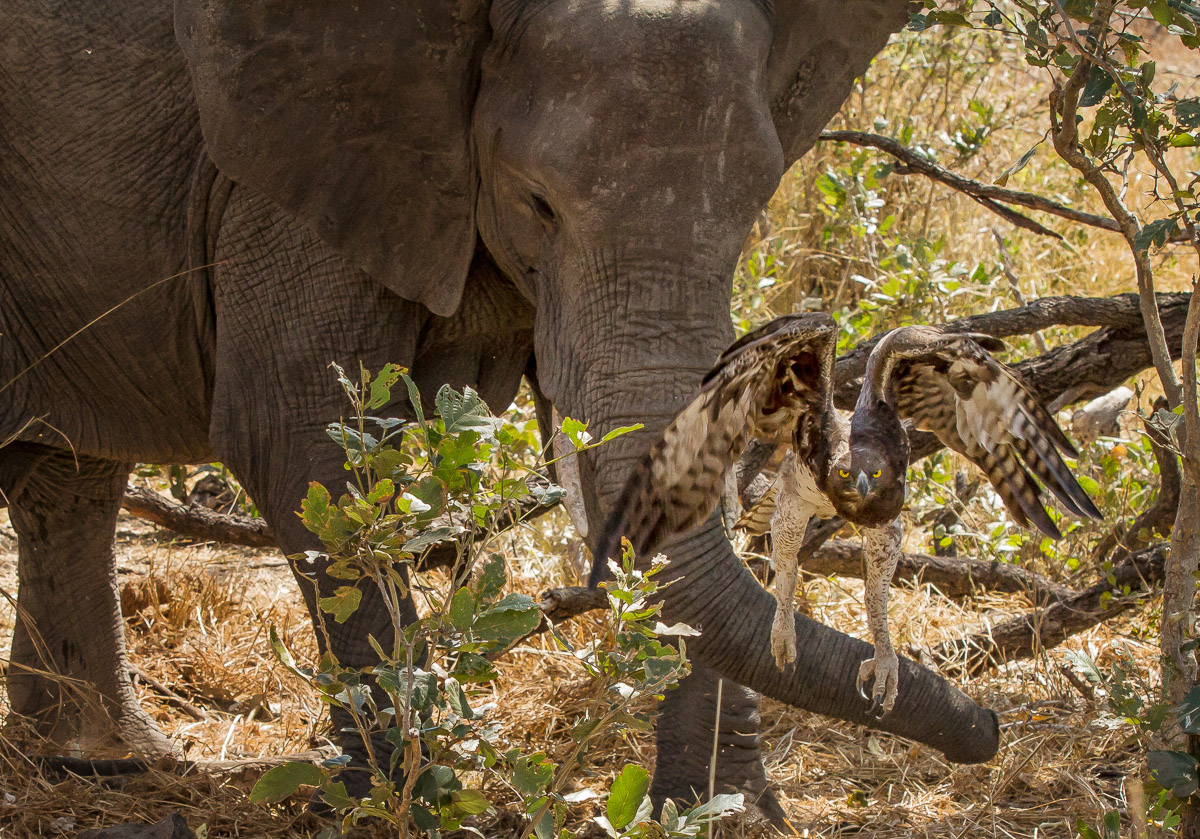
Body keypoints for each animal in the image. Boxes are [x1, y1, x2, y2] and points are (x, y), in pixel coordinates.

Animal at [0, 0, 999, 819]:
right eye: (537, 203)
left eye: (755, 204)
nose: (984, 730)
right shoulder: (289, 169)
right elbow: (299, 439)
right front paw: (413, 802)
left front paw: (725, 813)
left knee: (67, 478)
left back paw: (104, 760)